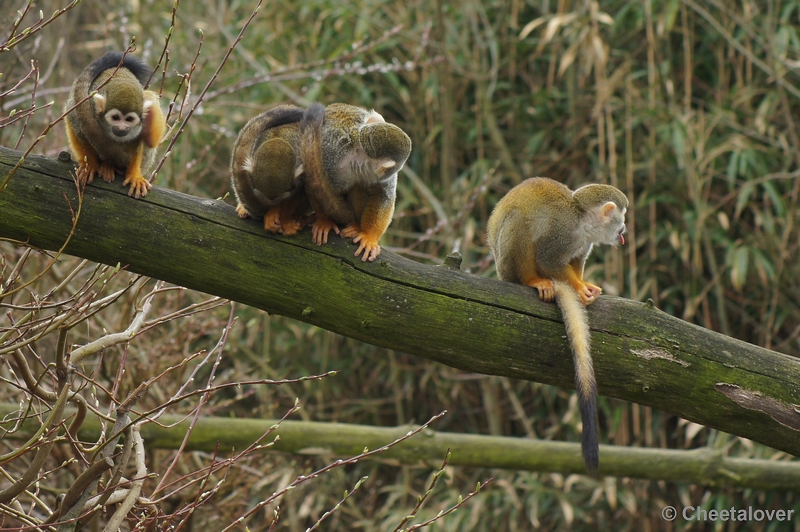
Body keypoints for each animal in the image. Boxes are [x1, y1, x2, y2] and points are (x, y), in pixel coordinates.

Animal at [66, 52, 167, 198]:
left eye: (129, 119)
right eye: (116, 118)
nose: (122, 128)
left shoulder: (138, 127)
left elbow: (142, 144)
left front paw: (134, 174)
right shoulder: (87, 106)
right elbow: (77, 127)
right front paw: (90, 164)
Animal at [298, 102, 412, 262]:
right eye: (395, 169)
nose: (391, 174)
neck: (359, 153)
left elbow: (383, 196)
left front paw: (369, 238)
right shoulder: (330, 155)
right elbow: (313, 181)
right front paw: (324, 221)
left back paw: (357, 226)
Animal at [484, 179, 628, 474]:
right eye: (622, 217)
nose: (625, 229)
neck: (582, 222)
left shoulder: (584, 242)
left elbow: (574, 261)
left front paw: (583, 284)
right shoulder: (563, 231)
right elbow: (549, 258)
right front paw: (578, 287)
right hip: (506, 266)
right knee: (519, 222)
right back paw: (533, 280)